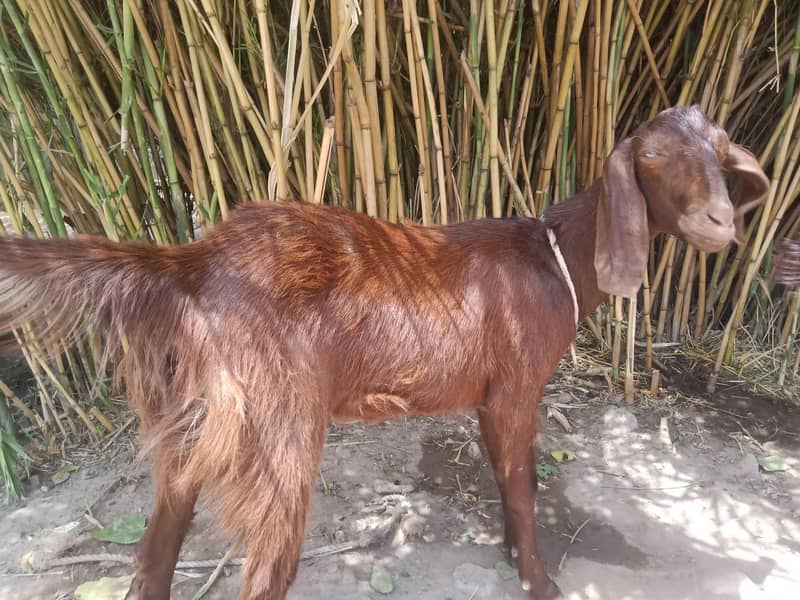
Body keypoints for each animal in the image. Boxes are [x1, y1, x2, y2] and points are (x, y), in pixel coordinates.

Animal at [0, 105, 769, 600]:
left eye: (722, 149)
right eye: (650, 157)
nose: (719, 221)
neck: (554, 258)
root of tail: (192, 264)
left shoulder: (488, 394)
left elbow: (509, 476)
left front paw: (513, 555)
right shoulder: (517, 382)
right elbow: (523, 486)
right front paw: (540, 581)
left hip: (190, 421)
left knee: (155, 552)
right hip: (279, 429)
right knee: (264, 574)